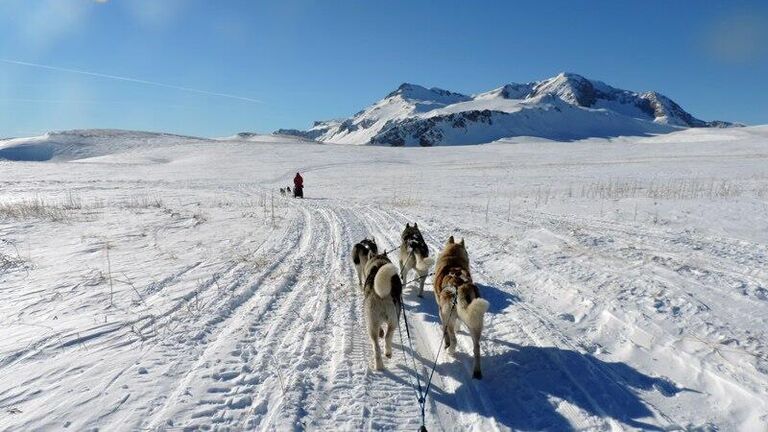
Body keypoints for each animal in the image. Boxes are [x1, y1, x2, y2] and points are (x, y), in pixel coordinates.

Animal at [436, 236, 488, 378]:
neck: (452, 259)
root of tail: (462, 286)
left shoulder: (442, 314)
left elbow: (446, 333)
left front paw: (446, 343)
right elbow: (459, 322)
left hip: (449, 317)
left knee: (454, 340)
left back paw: (450, 351)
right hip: (475, 322)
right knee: (477, 348)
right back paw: (477, 371)